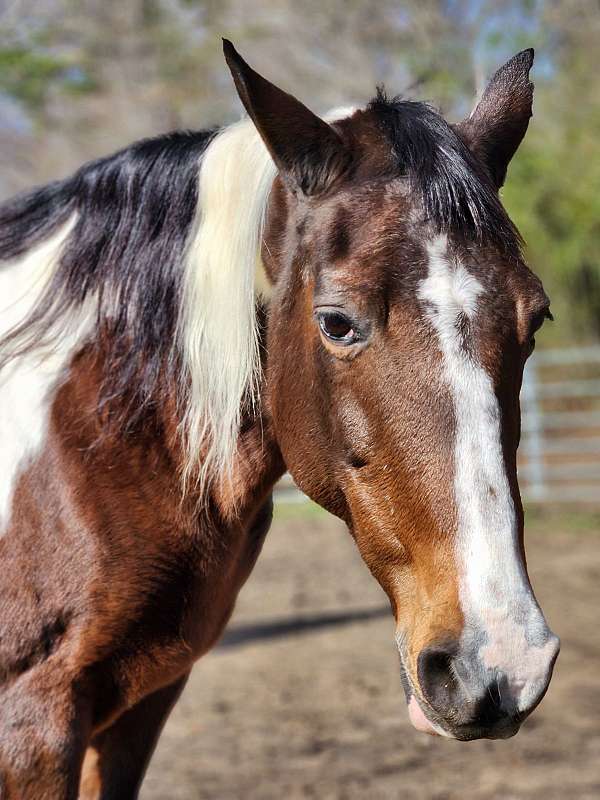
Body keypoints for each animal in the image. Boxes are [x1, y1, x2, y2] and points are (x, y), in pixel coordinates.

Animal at [0, 42, 560, 800]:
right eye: (337, 322)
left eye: (537, 319)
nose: (501, 664)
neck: (87, 440)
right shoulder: (33, 723)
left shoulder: (139, 708)